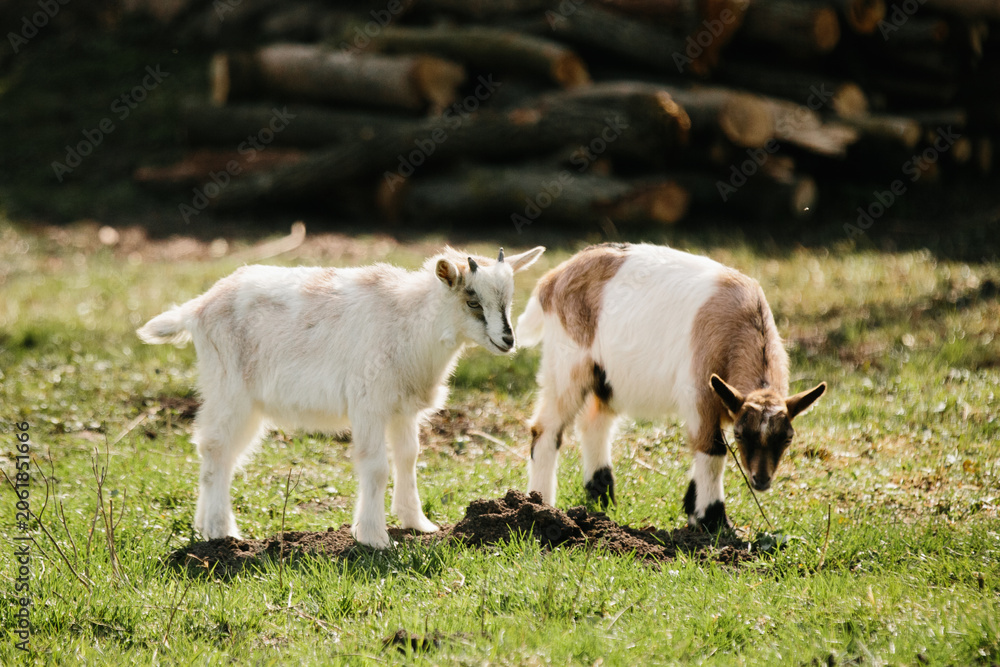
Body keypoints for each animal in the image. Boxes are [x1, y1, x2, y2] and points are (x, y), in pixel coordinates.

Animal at [138, 246, 545, 548]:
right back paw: (222, 533)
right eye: (472, 300)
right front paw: (375, 538)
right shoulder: (368, 402)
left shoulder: (403, 409)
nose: (508, 340)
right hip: (230, 390)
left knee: (220, 452)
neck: (409, 322)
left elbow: (408, 458)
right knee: (216, 449)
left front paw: (417, 523)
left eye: (508, 299)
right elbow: (376, 465)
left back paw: (205, 528)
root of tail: (198, 307)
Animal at [516, 243, 825, 531]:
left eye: (787, 438)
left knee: (594, 423)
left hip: (607, 377)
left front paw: (694, 510)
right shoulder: (699, 394)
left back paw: (602, 497)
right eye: (740, 435)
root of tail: (553, 279)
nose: (761, 481)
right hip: (568, 364)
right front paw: (714, 522)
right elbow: (713, 449)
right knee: (547, 428)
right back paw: (541, 504)